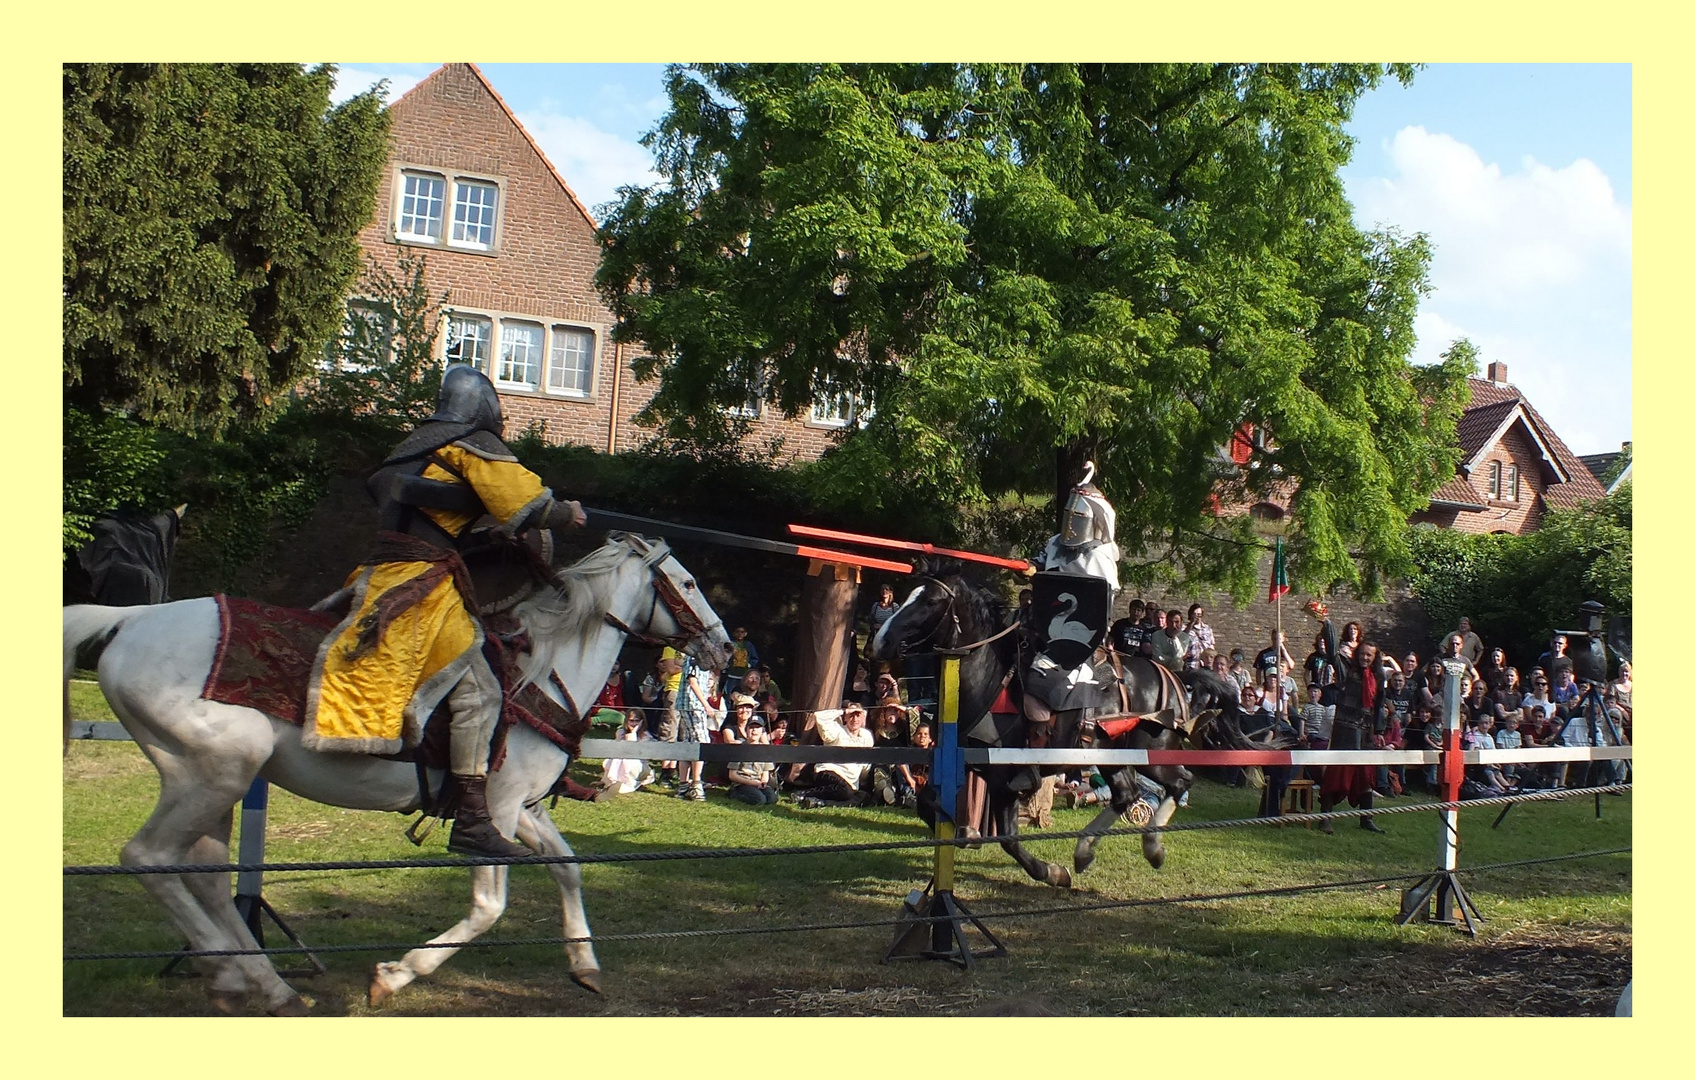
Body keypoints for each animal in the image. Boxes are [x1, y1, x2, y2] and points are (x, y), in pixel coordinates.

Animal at [61, 535, 728, 1017]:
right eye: (689, 584)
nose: (724, 647)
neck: (542, 673)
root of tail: (132, 621)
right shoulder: (496, 811)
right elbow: (489, 906)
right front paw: (396, 975)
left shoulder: (523, 809)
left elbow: (568, 868)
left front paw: (585, 966)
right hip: (214, 773)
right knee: (149, 858)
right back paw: (233, 975)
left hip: (211, 780)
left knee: (202, 874)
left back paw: (267, 986)